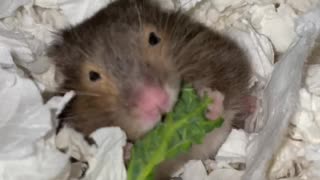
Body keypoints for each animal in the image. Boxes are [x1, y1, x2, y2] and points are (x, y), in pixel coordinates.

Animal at [48, 0, 252, 179]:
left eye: (154, 38)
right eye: (92, 76)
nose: (155, 100)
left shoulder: (220, 56)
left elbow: (224, 104)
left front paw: (207, 102)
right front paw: (124, 148)